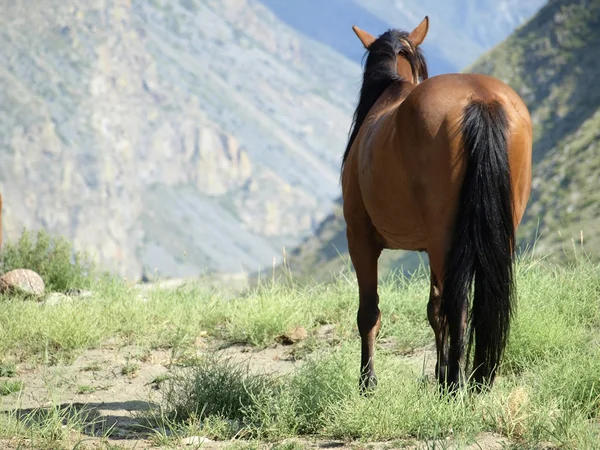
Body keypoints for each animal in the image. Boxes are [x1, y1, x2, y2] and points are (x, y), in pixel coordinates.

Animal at [340, 17, 532, 392]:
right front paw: (439, 375)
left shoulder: (360, 239)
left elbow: (369, 312)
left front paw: (367, 383)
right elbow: (434, 308)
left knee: (458, 307)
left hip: (445, 237)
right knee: (480, 301)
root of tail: (481, 99)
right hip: (494, 235)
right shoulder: (430, 247)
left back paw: (456, 384)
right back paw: (477, 378)